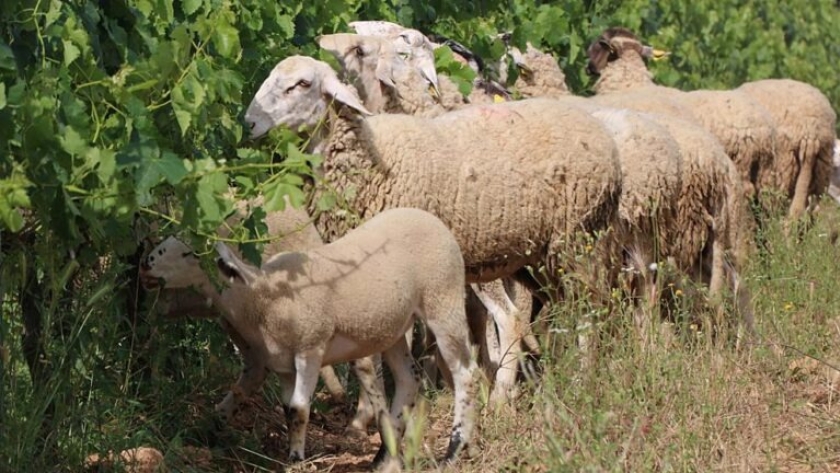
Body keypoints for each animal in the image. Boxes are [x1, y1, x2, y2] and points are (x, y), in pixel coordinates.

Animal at [140, 207, 480, 465]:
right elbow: (288, 409)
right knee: (409, 378)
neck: (262, 297)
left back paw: (454, 448)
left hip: (443, 298)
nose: (146, 265)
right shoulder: (282, 364)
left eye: (191, 252)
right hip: (394, 328)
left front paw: (296, 459)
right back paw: (384, 455)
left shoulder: (311, 347)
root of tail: (428, 216)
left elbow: (300, 408)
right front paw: (293, 452)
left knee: (465, 372)